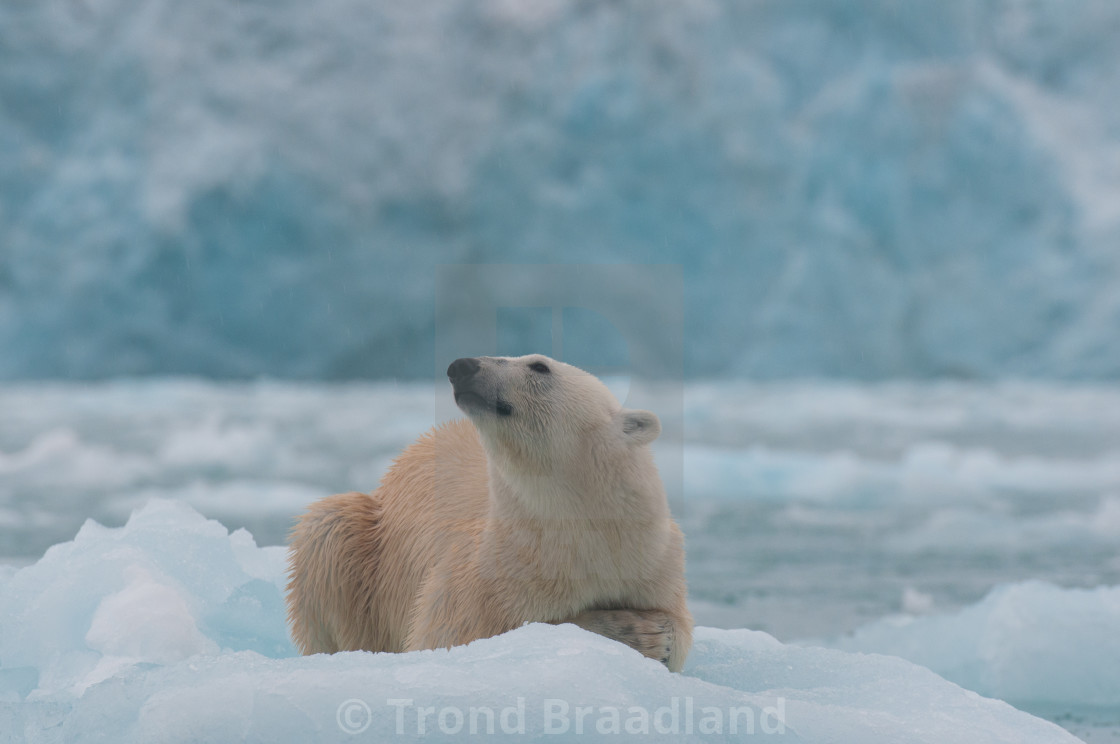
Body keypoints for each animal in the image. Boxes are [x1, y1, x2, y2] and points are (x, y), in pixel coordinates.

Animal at [284, 351, 689, 672]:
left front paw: (655, 634)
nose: (461, 366)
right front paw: (641, 633)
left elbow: (681, 630)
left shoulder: (654, 564)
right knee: (329, 528)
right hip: (371, 547)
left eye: (539, 366)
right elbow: (453, 635)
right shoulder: (485, 577)